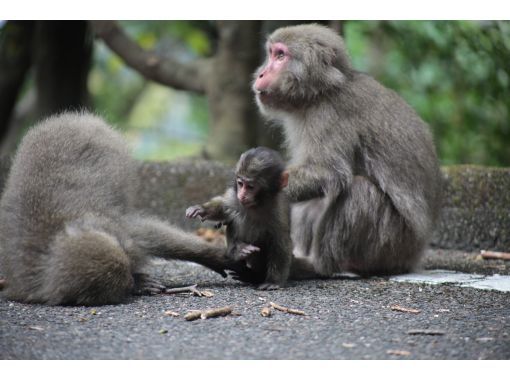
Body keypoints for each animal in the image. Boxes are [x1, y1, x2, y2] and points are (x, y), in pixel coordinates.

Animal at [0, 113, 241, 306]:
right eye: (123, 283)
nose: (130, 282)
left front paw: (217, 256)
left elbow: (149, 234)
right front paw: (140, 283)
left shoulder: (117, 229)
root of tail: (67, 118)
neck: (50, 250)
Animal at [186, 147, 290, 290]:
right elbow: (225, 208)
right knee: (235, 216)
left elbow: (280, 242)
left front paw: (273, 281)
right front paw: (202, 209)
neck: (257, 204)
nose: (242, 195)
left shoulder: (279, 209)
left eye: (250, 187)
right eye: (240, 184)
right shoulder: (234, 196)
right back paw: (237, 251)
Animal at [251, 24, 442, 280]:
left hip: (392, 245)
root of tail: (415, 257)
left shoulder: (328, 117)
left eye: (281, 56)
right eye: (271, 53)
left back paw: (326, 267)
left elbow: (330, 172)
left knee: (358, 191)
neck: (320, 92)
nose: (261, 74)